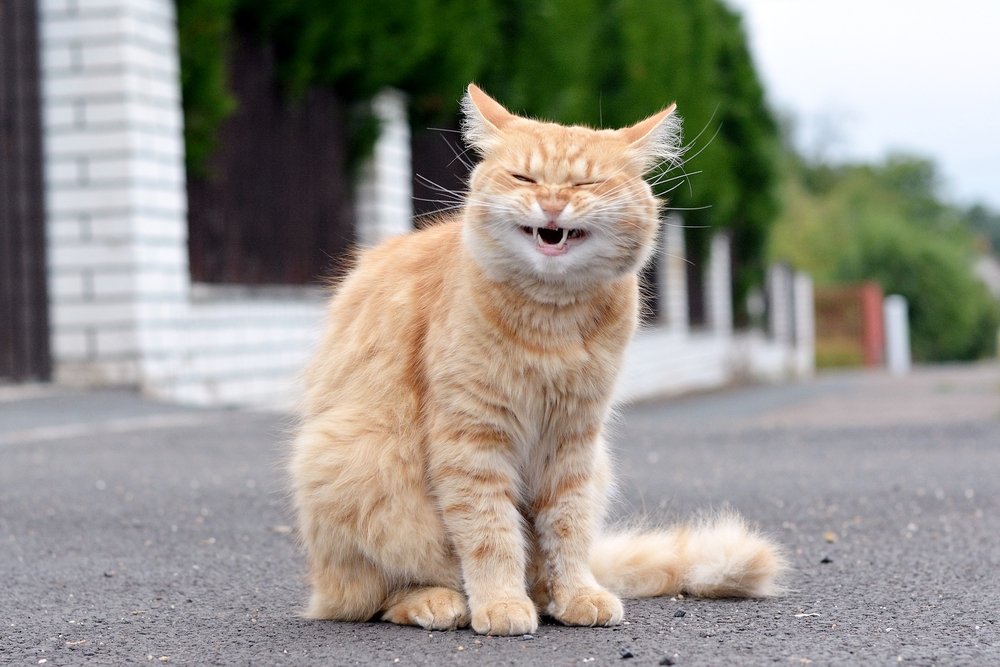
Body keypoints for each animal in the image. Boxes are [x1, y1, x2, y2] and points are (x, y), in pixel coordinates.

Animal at [290, 83, 788, 636]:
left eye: (585, 182)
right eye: (524, 177)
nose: (551, 203)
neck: (552, 324)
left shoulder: (572, 441)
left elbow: (567, 530)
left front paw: (575, 594)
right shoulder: (473, 440)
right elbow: (490, 533)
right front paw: (501, 603)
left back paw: (551, 593)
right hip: (353, 463)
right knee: (375, 596)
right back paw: (439, 602)